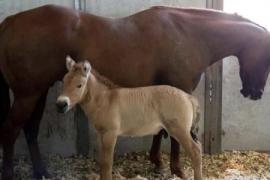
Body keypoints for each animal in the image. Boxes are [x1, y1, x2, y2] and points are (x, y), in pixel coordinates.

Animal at [55, 55, 202, 179]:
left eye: (79, 85)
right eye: (64, 81)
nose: (61, 104)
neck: (105, 100)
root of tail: (188, 97)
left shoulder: (110, 134)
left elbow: (107, 163)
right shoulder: (100, 134)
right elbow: (102, 162)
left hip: (179, 131)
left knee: (195, 151)